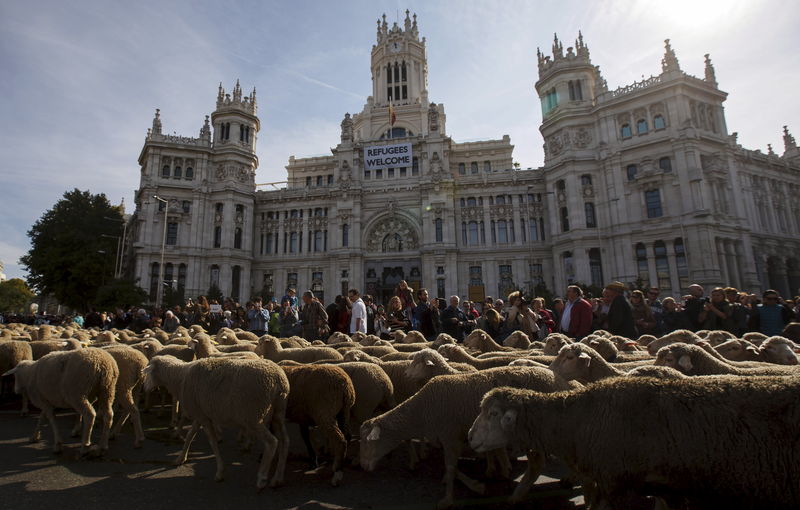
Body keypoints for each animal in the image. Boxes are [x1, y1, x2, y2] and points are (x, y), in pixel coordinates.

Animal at [144, 354, 290, 490]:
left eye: (148, 373)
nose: (144, 388)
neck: (179, 378)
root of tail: (278, 379)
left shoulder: (203, 417)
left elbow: (212, 442)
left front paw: (220, 472)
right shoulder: (200, 414)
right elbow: (190, 435)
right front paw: (180, 458)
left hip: (254, 416)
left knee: (272, 442)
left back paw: (262, 478)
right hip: (278, 413)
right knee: (284, 442)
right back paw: (278, 478)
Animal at [360, 366, 576, 510]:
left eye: (368, 442)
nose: (361, 466)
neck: (421, 411)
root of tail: (561, 382)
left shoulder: (450, 435)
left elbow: (450, 467)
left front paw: (448, 500)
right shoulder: (448, 437)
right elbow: (453, 469)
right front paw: (476, 485)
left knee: (538, 464)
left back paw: (518, 495)